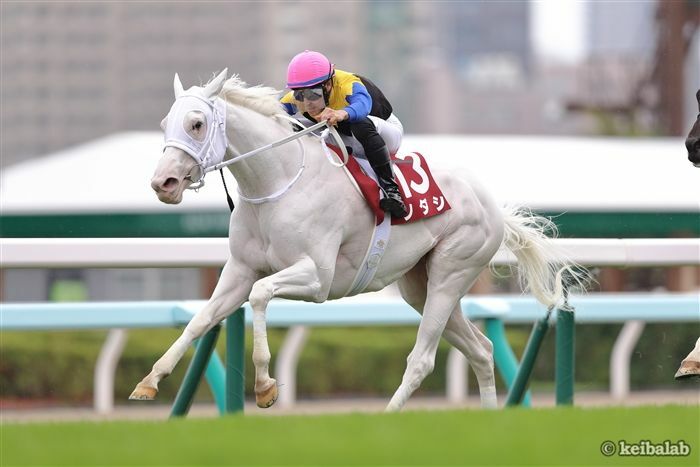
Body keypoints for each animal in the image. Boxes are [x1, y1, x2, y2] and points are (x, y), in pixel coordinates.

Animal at [130, 67, 580, 412]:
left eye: (196, 123)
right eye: (165, 124)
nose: (163, 183)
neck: (278, 182)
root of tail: (492, 207)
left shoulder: (317, 278)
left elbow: (260, 294)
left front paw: (265, 386)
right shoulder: (240, 270)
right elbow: (201, 319)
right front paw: (150, 380)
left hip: (453, 271)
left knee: (422, 359)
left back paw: (387, 417)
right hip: (421, 285)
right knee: (482, 349)